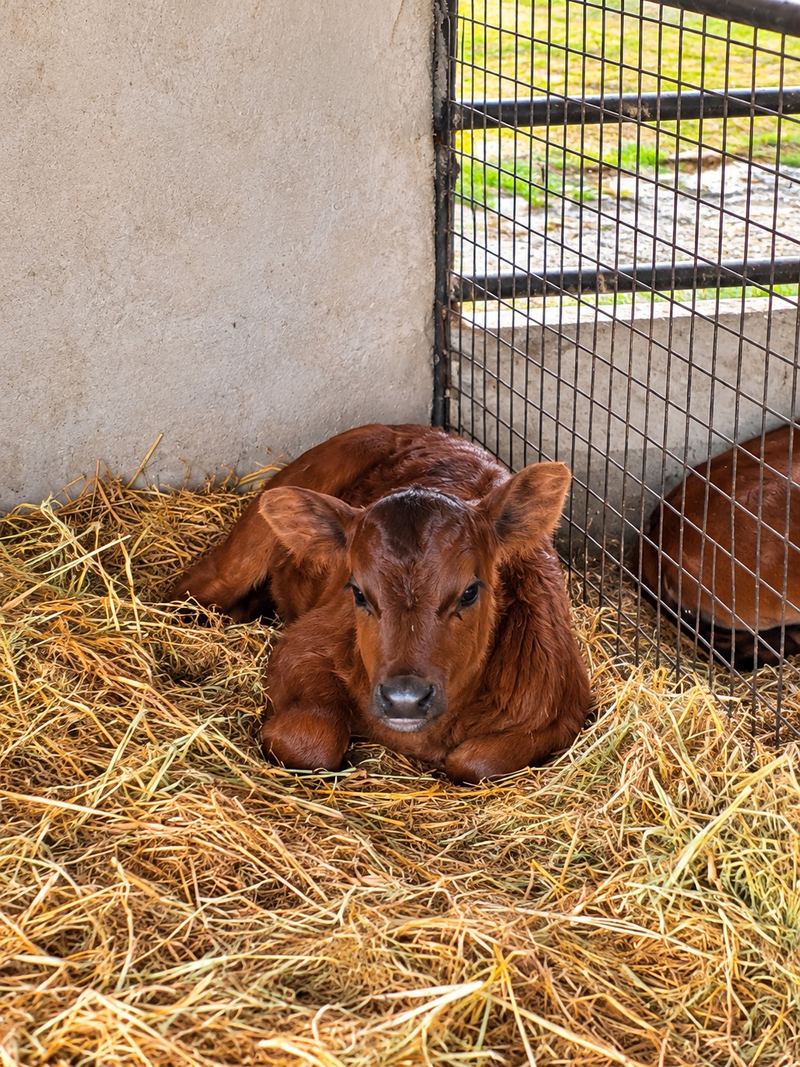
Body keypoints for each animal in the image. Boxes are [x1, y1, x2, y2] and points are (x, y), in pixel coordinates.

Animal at [172, 424, 592, 781]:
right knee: (190, 589)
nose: (404, 699)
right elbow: (311, 741)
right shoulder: (301, 647)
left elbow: (475, 762)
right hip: (251, 540)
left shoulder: (563, 709)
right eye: (358, 591)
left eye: (471, 591)